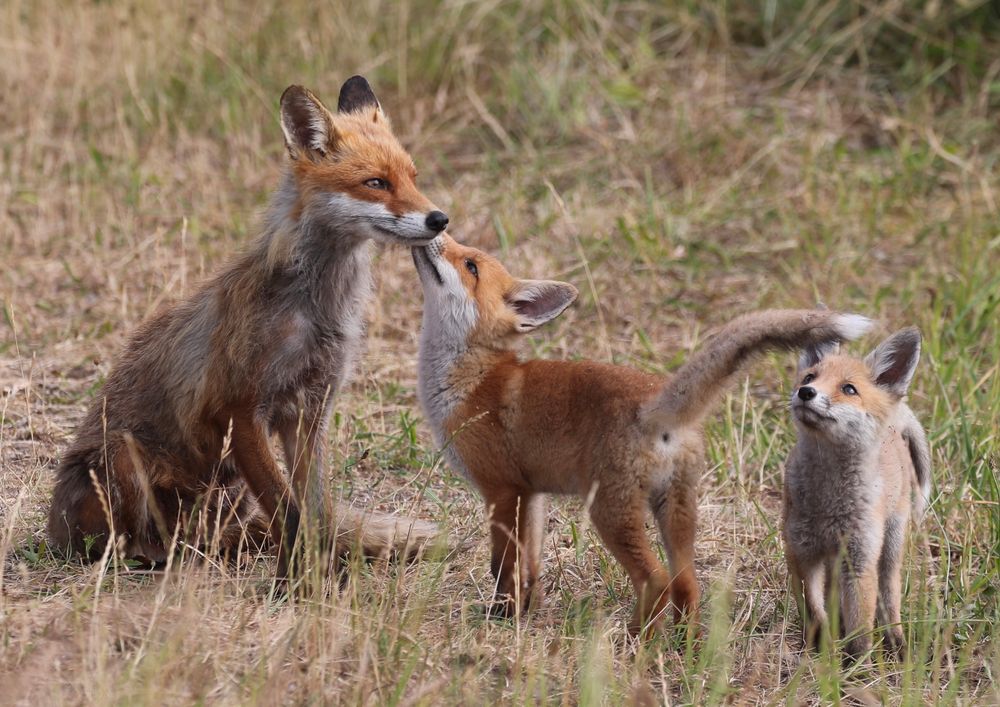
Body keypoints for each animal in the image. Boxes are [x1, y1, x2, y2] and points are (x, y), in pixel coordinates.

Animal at [48, 77, 448, 576]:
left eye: (413, 177)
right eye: (376, 183)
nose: (440, 219)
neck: (316, 309)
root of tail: (53, 530)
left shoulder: (310, 412)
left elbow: (316, 511)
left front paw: (320, 571)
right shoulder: (240, 409)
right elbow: (288, 513)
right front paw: (303, 580)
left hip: (228, 493)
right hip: (124, 453)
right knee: (136, 542)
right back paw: (155, 557)